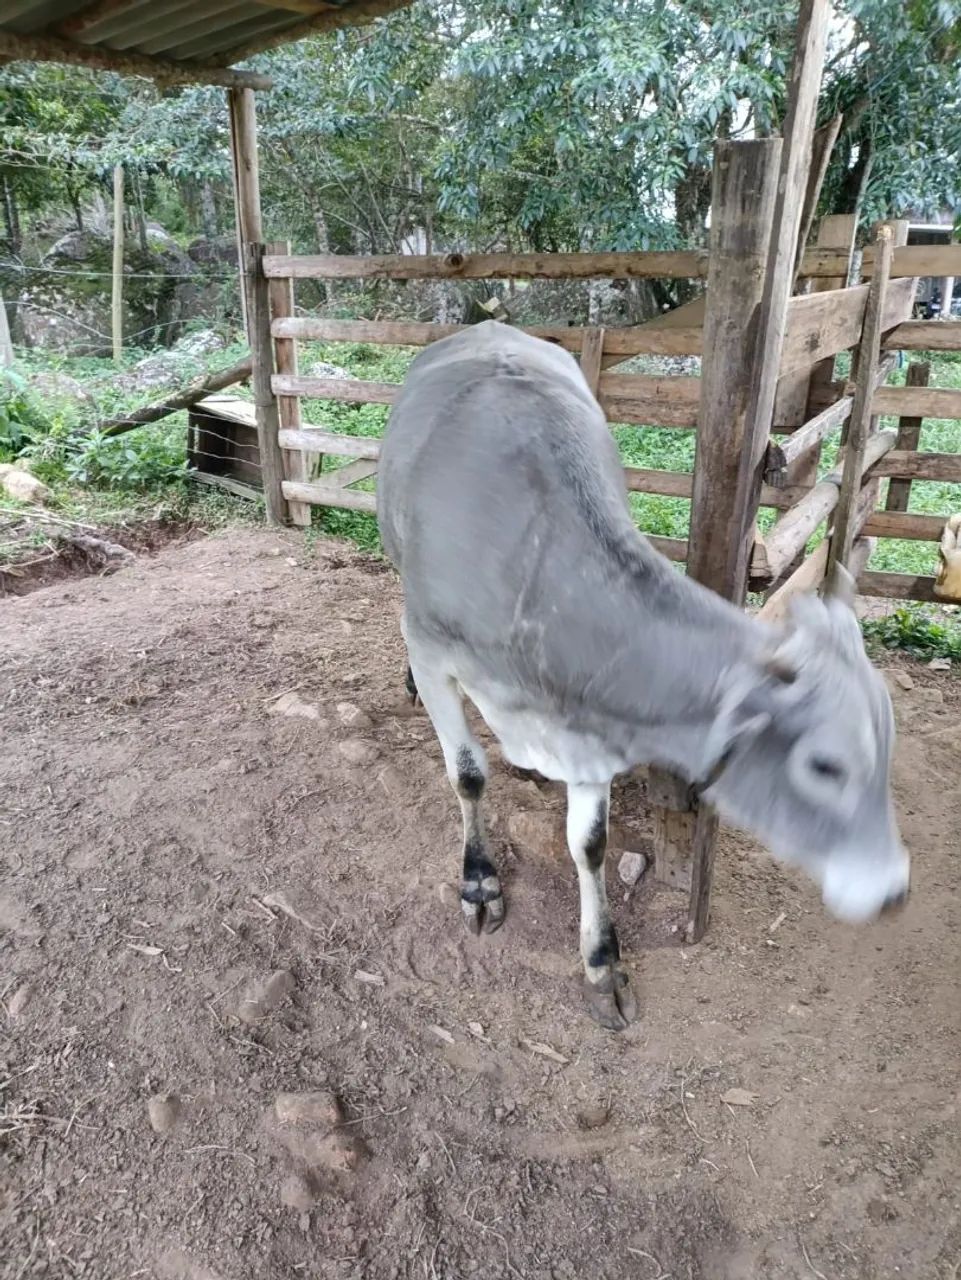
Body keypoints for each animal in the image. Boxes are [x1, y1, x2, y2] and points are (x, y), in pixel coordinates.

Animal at [377, 322, 910, 1030]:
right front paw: (479, 881)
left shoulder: (592, 720)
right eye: (825, 765)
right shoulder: (434, 649)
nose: (894, 891)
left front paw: (603, 961)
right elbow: (467, 775)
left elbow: (590, 843)